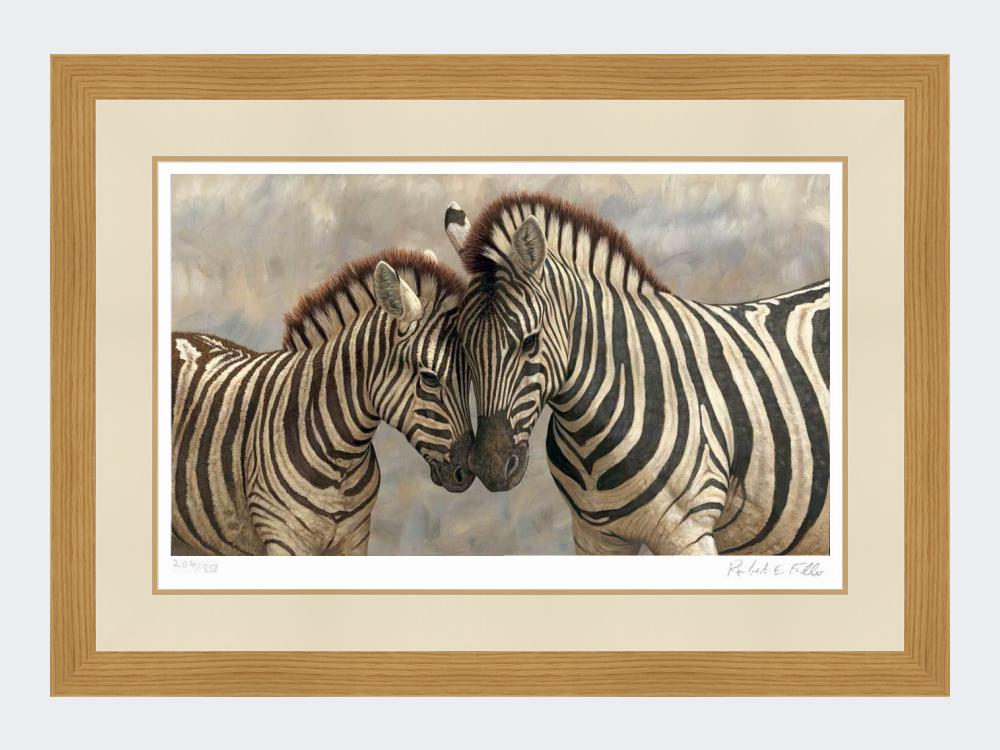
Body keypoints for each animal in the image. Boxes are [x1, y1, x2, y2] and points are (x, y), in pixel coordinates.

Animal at [172, 249, 475, 556]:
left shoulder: (355, 540)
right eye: (430, 378)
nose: (466, 473)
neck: (342, 460)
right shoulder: (284, 540)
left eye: (471, 377)